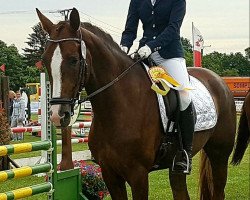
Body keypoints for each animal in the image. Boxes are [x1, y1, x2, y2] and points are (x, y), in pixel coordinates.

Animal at [36, 8, 236, 200]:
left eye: (74, 60)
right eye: (45, 60)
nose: (57, 115)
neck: (118, 108)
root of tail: (217, 79)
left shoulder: (138, 175)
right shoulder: (109, 173)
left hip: (219, 154)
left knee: (219, 192)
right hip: (176, 167)